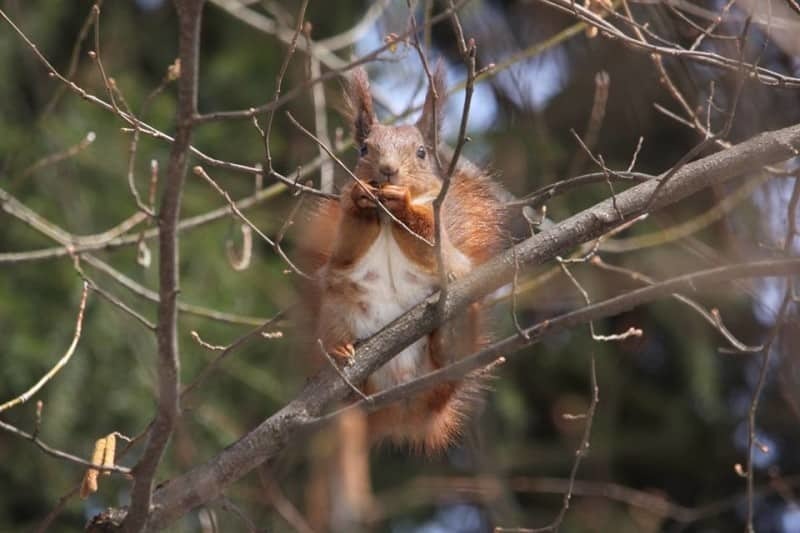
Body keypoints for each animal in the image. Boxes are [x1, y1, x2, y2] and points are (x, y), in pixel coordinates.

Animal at [304, 63, 504, 454]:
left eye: (422, 152)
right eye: (364, 149)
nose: (387, 170)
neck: (384, 217)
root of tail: (406, 408)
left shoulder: (442, 241)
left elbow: (429, 241)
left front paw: (404, 204)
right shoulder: (343, 251)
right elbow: (347, 247)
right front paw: (359, 199)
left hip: (462, 313)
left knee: (450, 350)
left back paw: (445, 343)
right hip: (336, 310)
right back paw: (342, 351)